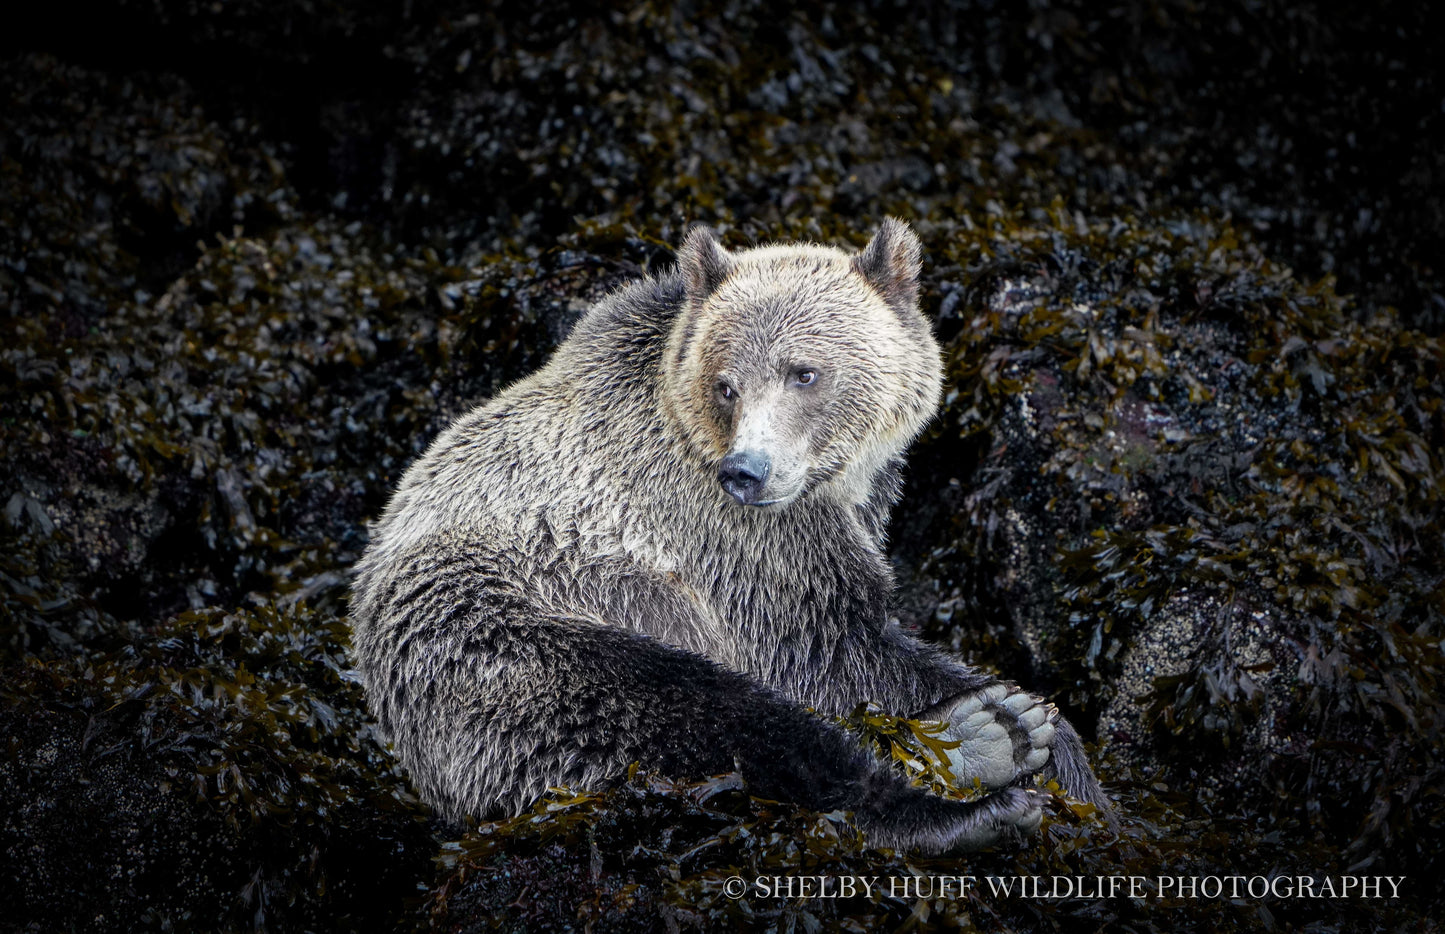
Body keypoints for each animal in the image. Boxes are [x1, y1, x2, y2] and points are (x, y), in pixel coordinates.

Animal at [349, 219, 1108, 854]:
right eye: (726, 385)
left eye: (805, 372)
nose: (746, 471)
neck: (831, 488)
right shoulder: (735, 546)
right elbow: (831, 650)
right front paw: (1042, 734)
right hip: (505, 645)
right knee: (709, 722)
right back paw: (977, 777)